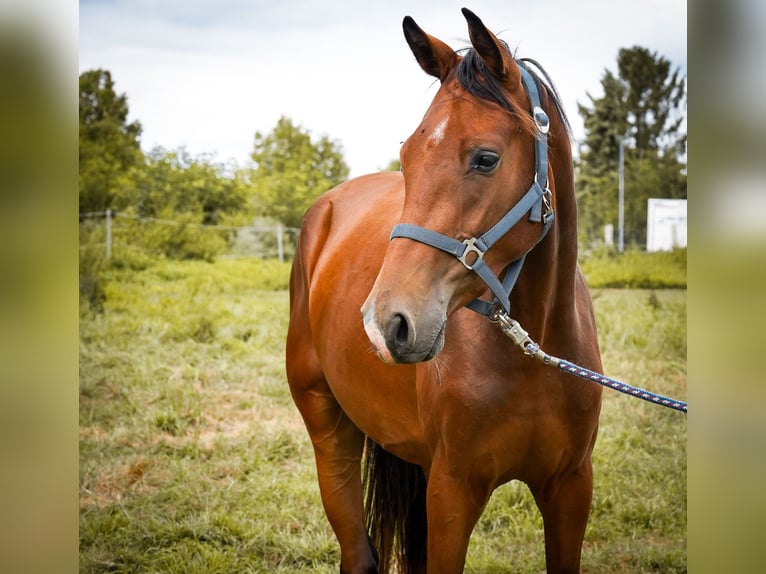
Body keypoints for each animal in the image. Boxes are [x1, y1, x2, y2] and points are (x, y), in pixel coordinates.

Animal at [285, 8, 602, 573]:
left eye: (485, 159)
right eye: (408, 155)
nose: (385, 322)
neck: (536, 353)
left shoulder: (571, 487)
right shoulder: (452, 491)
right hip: (327, 427)